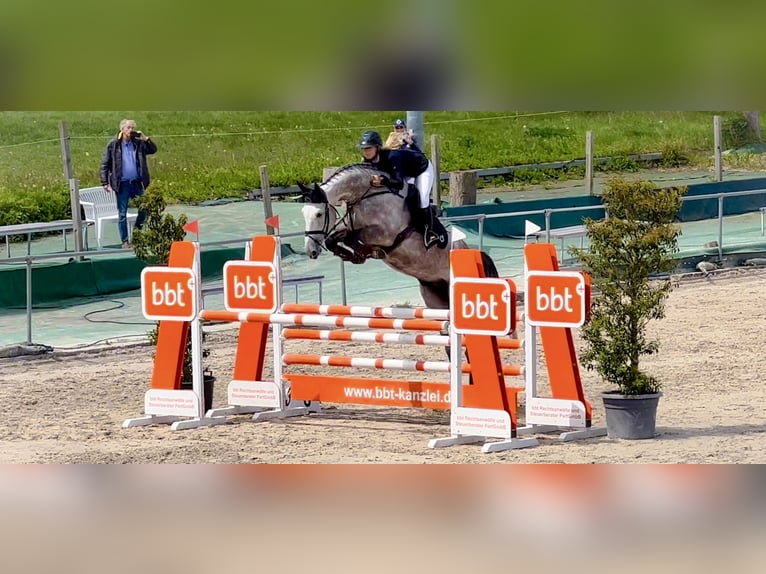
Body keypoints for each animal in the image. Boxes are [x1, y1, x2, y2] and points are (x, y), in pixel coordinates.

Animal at [296, 162, 500, 310]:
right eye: (303, 213)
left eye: (319, 214)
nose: (310, 251)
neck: (367, 196)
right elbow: (335, 238)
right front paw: (351, 254)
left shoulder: (385, 234)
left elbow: (355, 236)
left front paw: (360, 252)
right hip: (434, 294)